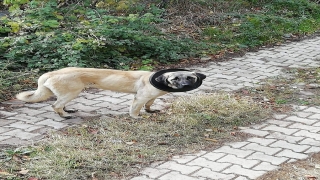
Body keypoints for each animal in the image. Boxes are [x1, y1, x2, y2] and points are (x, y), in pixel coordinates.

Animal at [15, 67, 205, 119]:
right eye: (175, 78)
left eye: (190, 77)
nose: (184, 85)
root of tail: (50, 73)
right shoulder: (139, 97)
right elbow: (135, 109)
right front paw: (136, 117)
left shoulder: (150, 97)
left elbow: (149, 105)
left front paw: (150, 111)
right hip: (72, 92)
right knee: (55, 105)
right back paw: (65, 115)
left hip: (70, 93)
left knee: (60, 104)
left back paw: (67, 111)